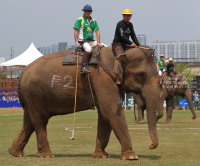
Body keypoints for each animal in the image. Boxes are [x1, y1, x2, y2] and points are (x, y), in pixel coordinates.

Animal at [7, 46, 159, 160]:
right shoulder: (101, 78)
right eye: (141, 75)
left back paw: (15, 153)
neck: (119, 53)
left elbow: (104, 114)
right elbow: (110, 110)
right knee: (39, 120)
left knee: (29, 121)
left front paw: (101, 156)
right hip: (35, 92)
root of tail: (22, 72)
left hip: (31, 96)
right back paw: (46, 156)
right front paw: (131, 157)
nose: (150, 146)